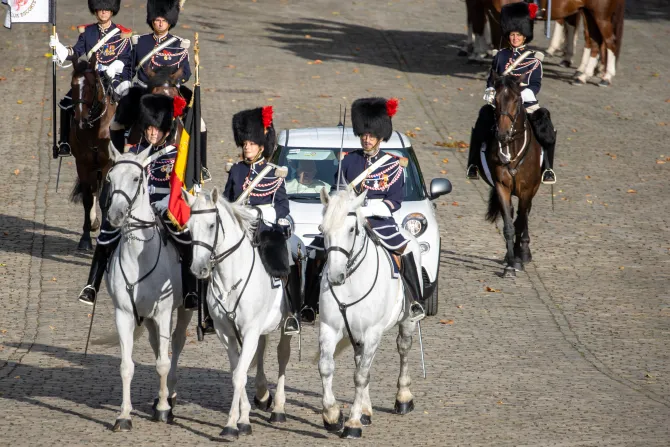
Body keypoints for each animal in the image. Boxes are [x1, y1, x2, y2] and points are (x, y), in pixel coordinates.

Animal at [105, 145, 193, 432]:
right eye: (110, 178)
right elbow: (126, 366)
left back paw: (170, 396)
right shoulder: (123, 314)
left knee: (175, 343)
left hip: (183, 308)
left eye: (136, 178)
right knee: (157, 345)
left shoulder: (164, 312)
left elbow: (163, 363)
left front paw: (164, 409)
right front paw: (124, 415)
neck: (138, 257)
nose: (115, 216)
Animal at [186, 187, 296, 440]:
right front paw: (243, 419)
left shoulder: (250, 330)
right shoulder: (226, 333)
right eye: (189, 226)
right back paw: (263, 394)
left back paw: (278, 408)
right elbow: (238, 371)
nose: (198, 269)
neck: (230, 278)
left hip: (286, 324)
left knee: (282, 355)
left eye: (211, 225)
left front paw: (231, 425)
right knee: (262, 351)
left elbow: (239, 375)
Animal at [318, 189, 422, 440]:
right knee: (359, 360)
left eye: (351, 229)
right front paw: (332, 416)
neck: (350, 282)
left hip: (406, 321)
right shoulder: (330, 328)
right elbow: (327, 367)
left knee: (403, 349)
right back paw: (366, 410)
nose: (335, 276)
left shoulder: (372, 333)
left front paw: (352, 423)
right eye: (323, 230)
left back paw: (403, 398)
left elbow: (361, 376)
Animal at [480, 72, 544, 276]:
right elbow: (509, 225)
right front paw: (510, 263)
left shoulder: (527, 190)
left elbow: (520, 222)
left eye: (516, 100)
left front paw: (520, 256)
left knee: (524, 216)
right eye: (496, 100)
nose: (502, 134)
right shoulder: (502, 187)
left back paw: (523, 251)